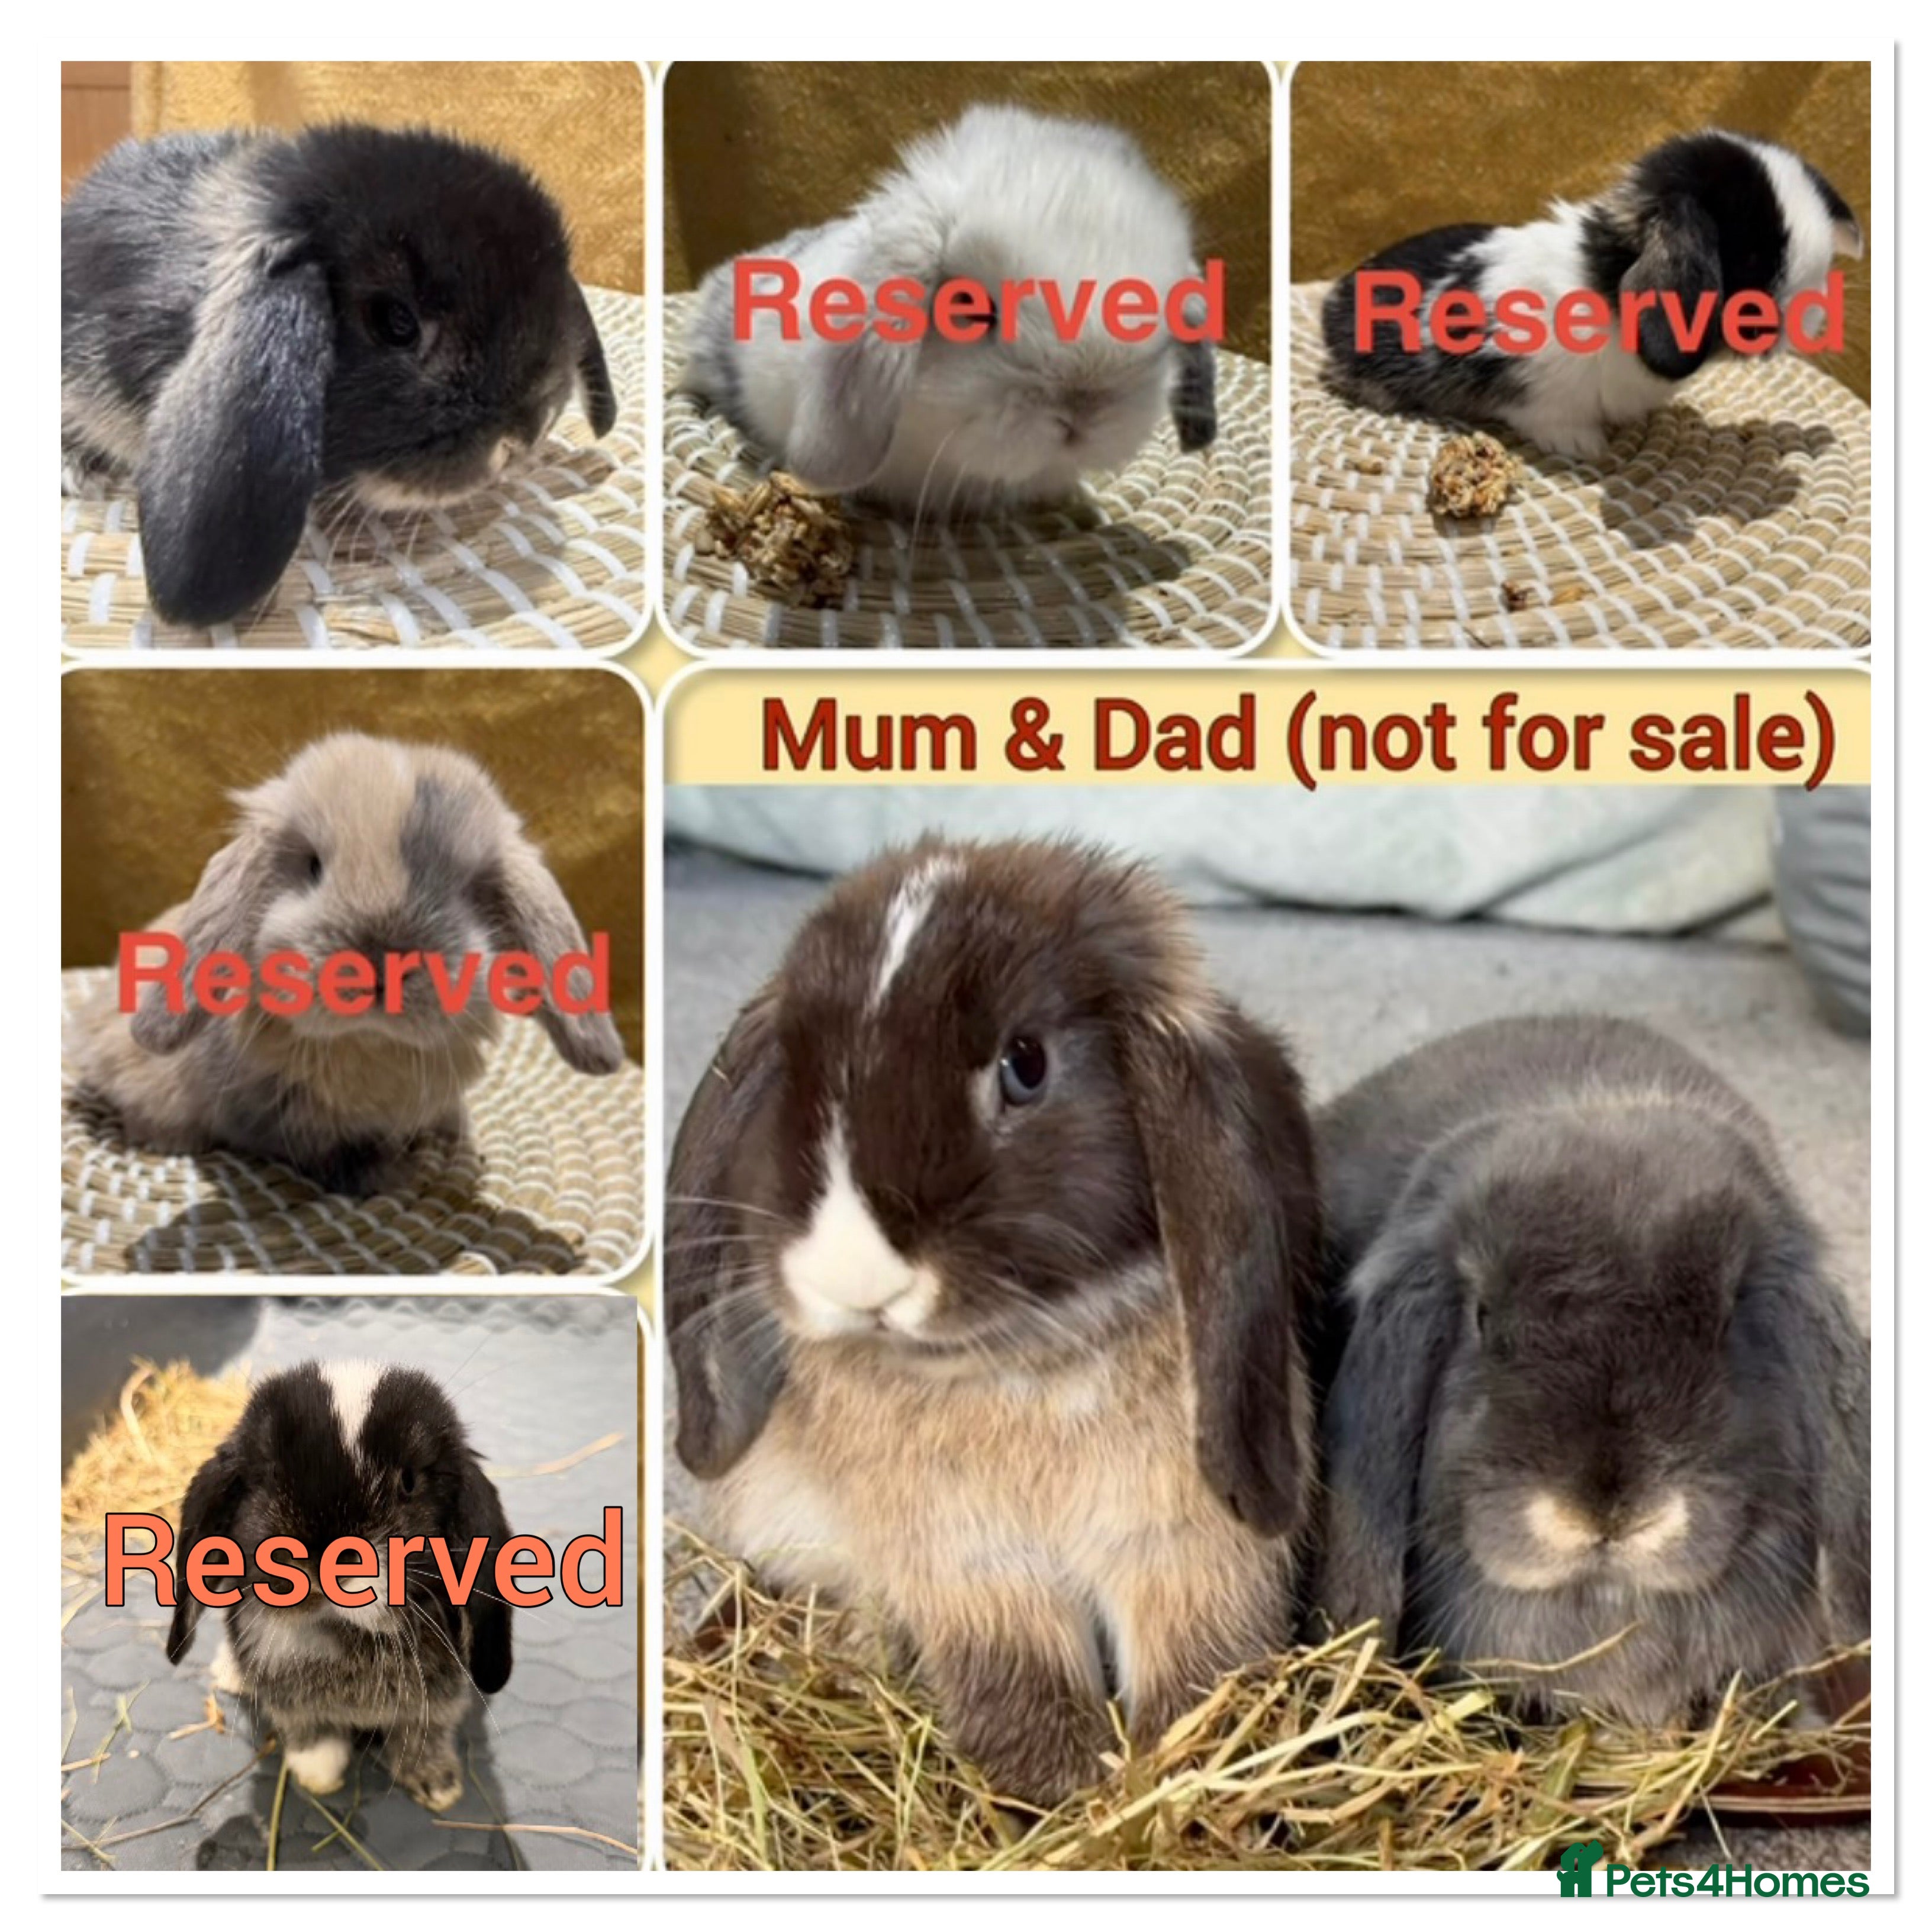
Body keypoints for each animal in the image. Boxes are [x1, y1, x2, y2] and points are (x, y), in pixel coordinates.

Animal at [72, 732, 625, 1198]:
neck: (370, 1043)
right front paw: (396, 1175)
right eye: (313, 866)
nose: (378, 966)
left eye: (470, 891)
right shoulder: (275, 1118)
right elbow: (331, 1154)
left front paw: (454, 1135)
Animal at [166, 1359, 512, 1810]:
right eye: (270, 1476)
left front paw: (439, 1786)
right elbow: (308, 1732)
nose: (323, 1563)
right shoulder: (291, 1702)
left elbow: (424, 1734)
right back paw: (230, 1673)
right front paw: (320, 1774)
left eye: (408, 1483)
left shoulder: (436, 1704)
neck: (346, 1634)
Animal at [666, 838, 1321, 1805]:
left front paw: (1172, 1786)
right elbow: (1022, 1687)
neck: (1018, 1363)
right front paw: (1063, 1797)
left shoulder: (1188, 1554)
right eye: (796, 1069)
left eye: (1027, 1064)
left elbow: (1195, 1675)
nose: (855, 1273)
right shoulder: (976, 1574)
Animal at [1321, 130, 1863, 459]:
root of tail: (1334, 297)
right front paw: (1585, 448)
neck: (1606, 281)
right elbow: (1548, 417)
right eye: (1753, 257)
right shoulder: (1534, 387)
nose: (1816, 315)